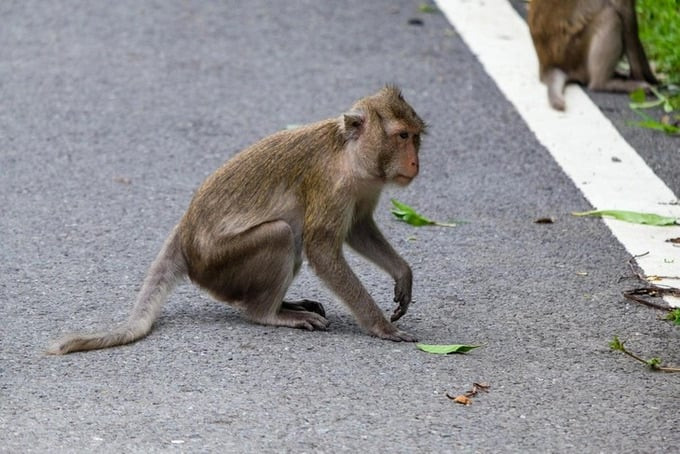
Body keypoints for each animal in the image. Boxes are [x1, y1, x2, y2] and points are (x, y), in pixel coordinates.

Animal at [49, 85, 424, 354]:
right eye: (401, 136)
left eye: (416, 136)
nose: (415, 163)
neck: (349, 155)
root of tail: (184, 236)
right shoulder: (332, 185)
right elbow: (322, 250)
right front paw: (381, 327)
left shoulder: (363, 188)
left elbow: (359, 229)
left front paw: (402, 274)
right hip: (220, 265)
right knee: (281, 234)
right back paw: (270, 313)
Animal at [524, 0, 660, 111]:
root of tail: (547, 65)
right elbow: (625, 14)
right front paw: (641, 76)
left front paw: (652, 78)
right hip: (574, 50)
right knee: (610, 16)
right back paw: (603, 83)